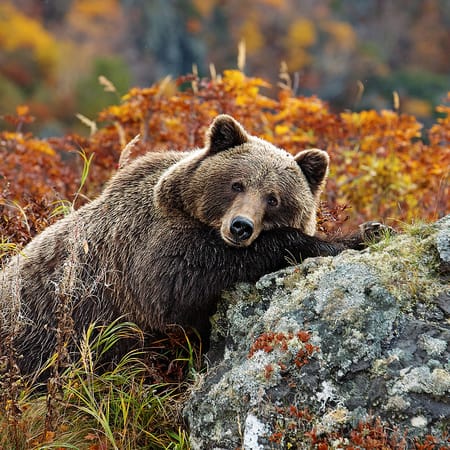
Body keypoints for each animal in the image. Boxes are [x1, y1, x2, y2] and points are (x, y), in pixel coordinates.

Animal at [0, 114, 382, 374]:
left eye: (273, 199)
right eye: (237, 184)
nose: (240, 227)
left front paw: (369, 229)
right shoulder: (144, 252)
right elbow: (177, 285)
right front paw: (351, 237)